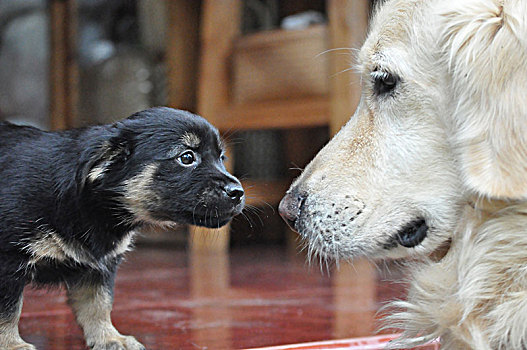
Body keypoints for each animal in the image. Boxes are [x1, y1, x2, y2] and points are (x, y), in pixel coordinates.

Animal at [0, 107, 243, 350]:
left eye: (222, 158)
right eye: (186, 157)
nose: (238, 192)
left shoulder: (99, 268)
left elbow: (98, 305)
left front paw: (109, 338)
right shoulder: (7, 263)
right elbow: (8, 311)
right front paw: (12, 345)